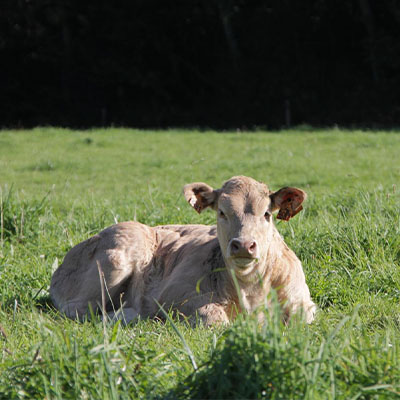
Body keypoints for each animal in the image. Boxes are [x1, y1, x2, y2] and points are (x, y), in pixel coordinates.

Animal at [50, 177, 316, 326]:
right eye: (222, 212)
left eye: (267, 214)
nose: (243, 245)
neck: (251, 289)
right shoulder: (173, 295)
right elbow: (213, 317)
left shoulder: (303, 302)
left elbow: (302, 318)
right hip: (118, 256)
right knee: (80, 309)